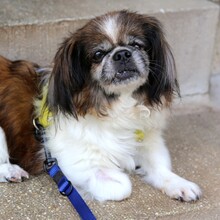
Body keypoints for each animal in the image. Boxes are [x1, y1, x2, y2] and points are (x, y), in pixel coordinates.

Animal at [0, 11, 201, 202]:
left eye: (136, 45)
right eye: (98, 54)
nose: (122, 53)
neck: (119, 106)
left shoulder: (149, 142)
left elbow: (160, 168)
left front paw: (179, 184)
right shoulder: (77, 164)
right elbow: (123, 186)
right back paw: (11, 171)